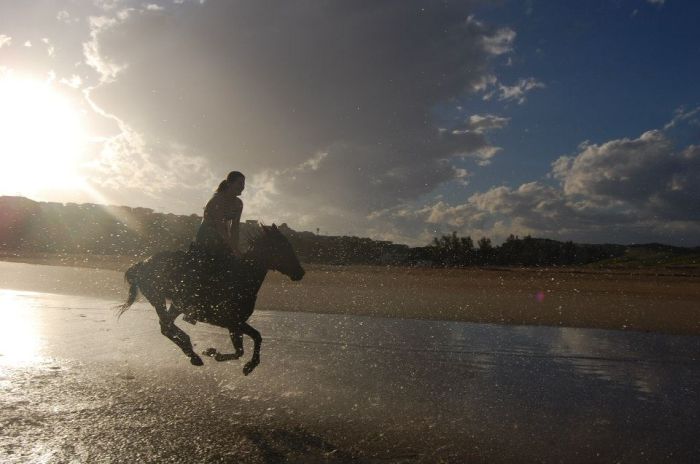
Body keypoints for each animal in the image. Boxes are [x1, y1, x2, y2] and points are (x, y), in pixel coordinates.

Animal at [116, 223, 304, 376]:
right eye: (284, 247)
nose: (300, 273)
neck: (242, 280)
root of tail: (143, 263)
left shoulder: (236, 323)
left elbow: (253, 340)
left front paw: (234, 360)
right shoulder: (232, 323)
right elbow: (244, 347)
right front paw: (225, 357)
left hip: (176, 304)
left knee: (166, 326)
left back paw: (191, 351)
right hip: (159, 299)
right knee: (166, 327)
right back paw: (191, 351)